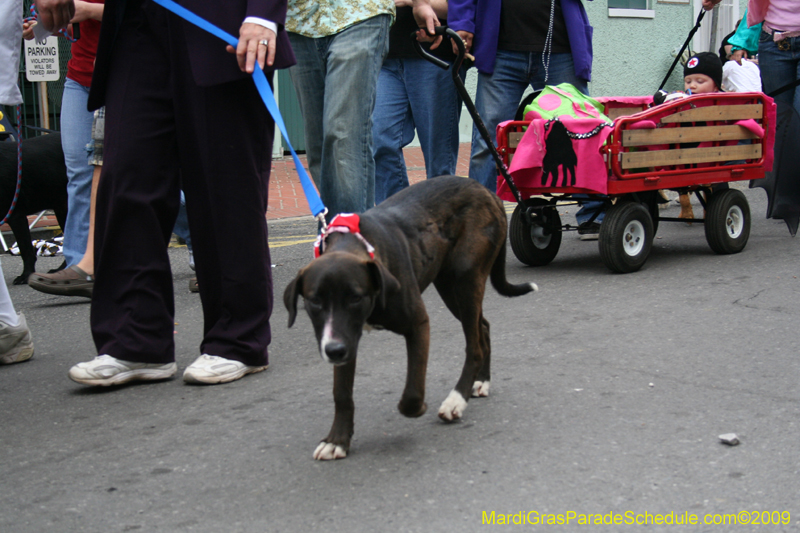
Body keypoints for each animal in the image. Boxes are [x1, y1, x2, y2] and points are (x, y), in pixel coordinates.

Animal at [284, 177, 540, 460]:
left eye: (355, 298)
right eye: (314, 301)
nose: (334, 351)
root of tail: (487, 191)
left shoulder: (417, 324)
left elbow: (413, 390)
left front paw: (416, 408)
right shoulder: (345, 338)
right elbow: (342, 393)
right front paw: (337, 440)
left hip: (466, 278)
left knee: (474, 346)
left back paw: (456, 400)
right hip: (448, 285)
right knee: (483, 327)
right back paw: (481, 381)